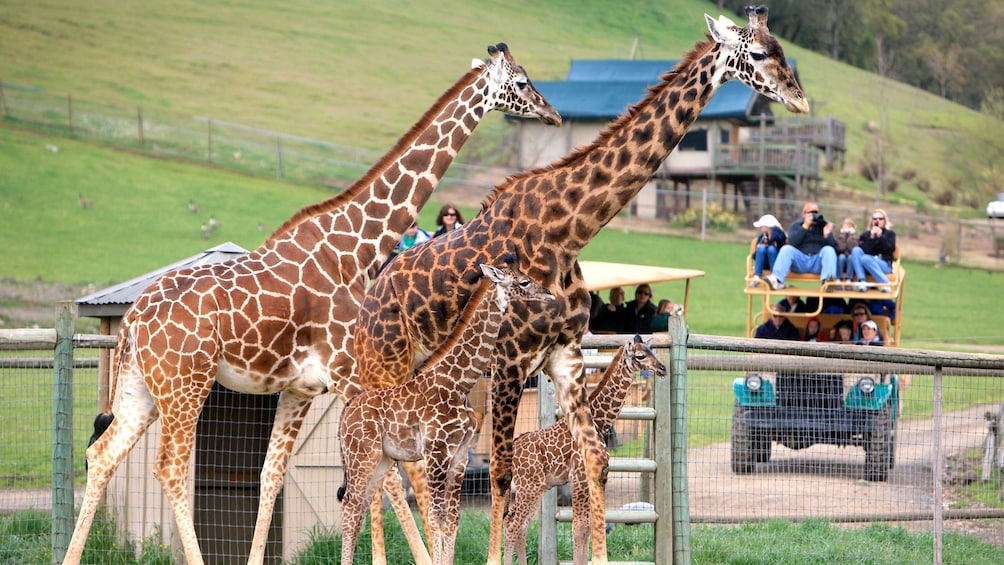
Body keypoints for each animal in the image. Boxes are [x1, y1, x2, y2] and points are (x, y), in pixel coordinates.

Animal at [341, 262, 554, 565]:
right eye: (523, 282)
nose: (548, 293)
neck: (459, 382)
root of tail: (346, 411)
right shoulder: (436, 452)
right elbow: (435, 519)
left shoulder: (459, 455)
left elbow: (452, 520)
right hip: (361, 456)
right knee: (350, 507)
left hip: (381, 459)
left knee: (358, 507)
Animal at [501, 335, 666, 565]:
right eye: (641, 355)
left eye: (652, 351)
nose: (662, 368)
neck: (599, 421)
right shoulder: (579, 477)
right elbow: (579, 528)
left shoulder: (595, 477)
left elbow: (588, 527)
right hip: (530, 487)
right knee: (512, 524)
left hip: (534, 488)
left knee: (521, 525)